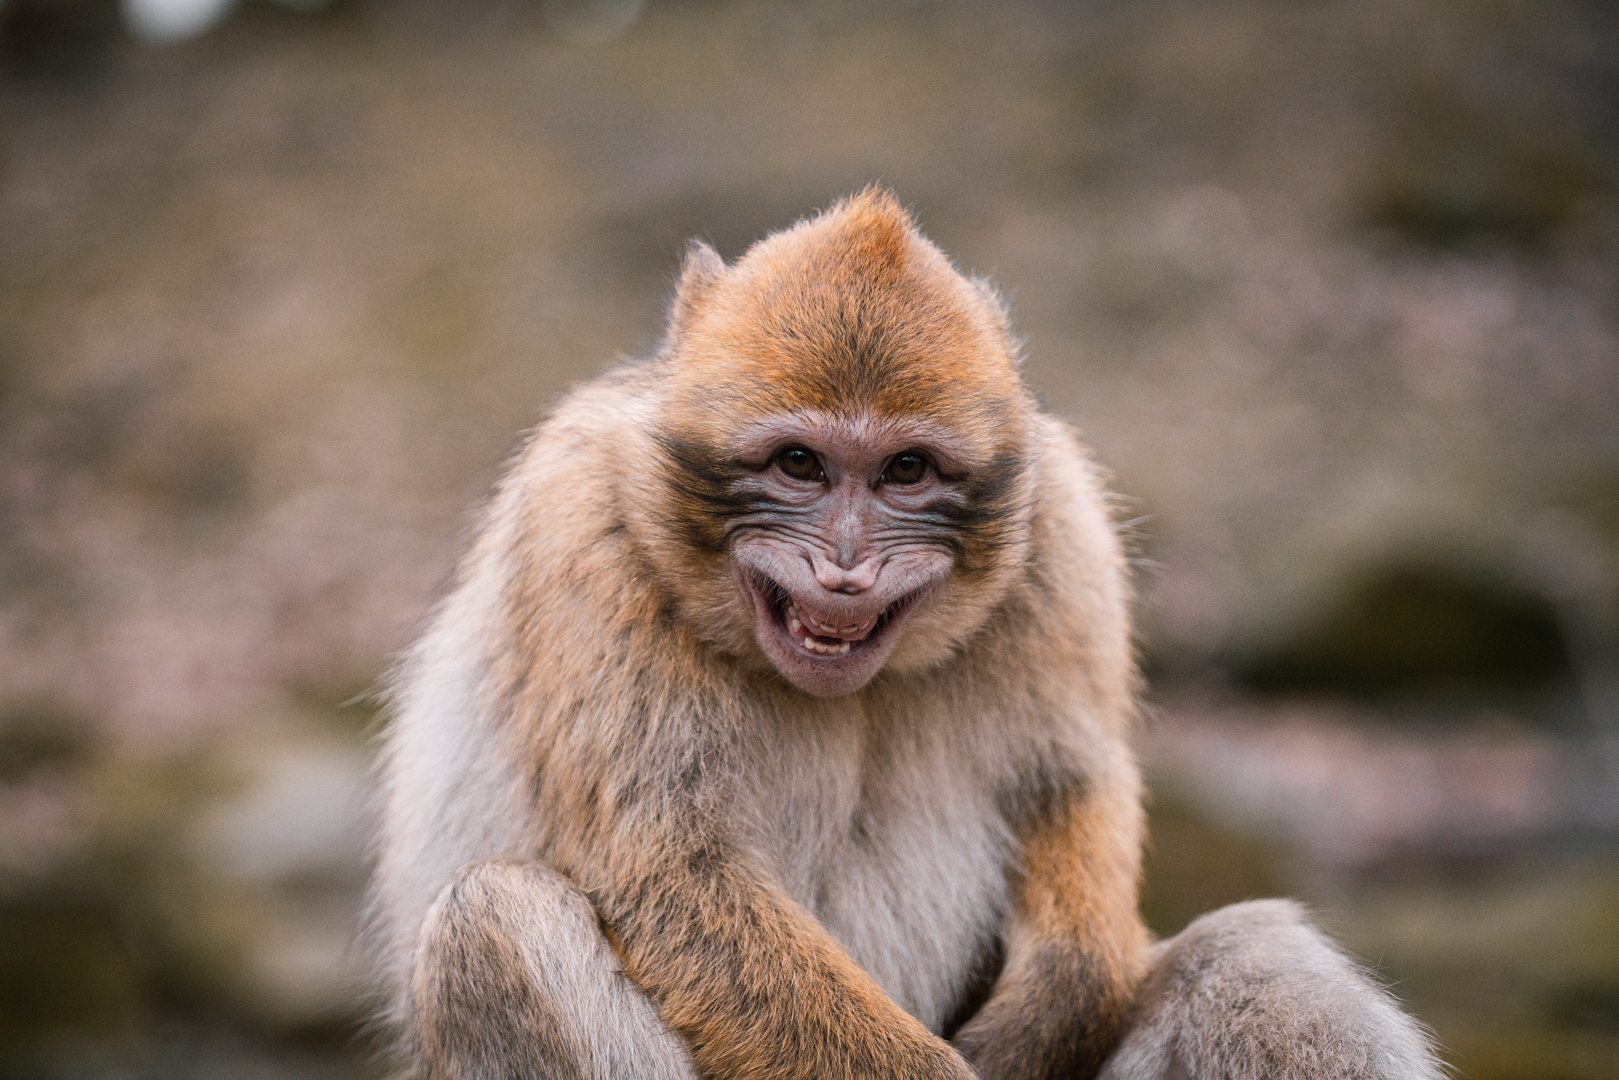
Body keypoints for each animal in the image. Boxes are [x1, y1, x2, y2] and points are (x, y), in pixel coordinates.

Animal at [367, 188, 1440, 1080]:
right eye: (798, 464)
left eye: (906, 472)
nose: (846, 569)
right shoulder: (579, 531)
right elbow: (670, 868)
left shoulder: (1059, 531)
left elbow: (1068, 783)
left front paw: (1060, 998)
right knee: (492, 926)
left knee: (1250, 951)